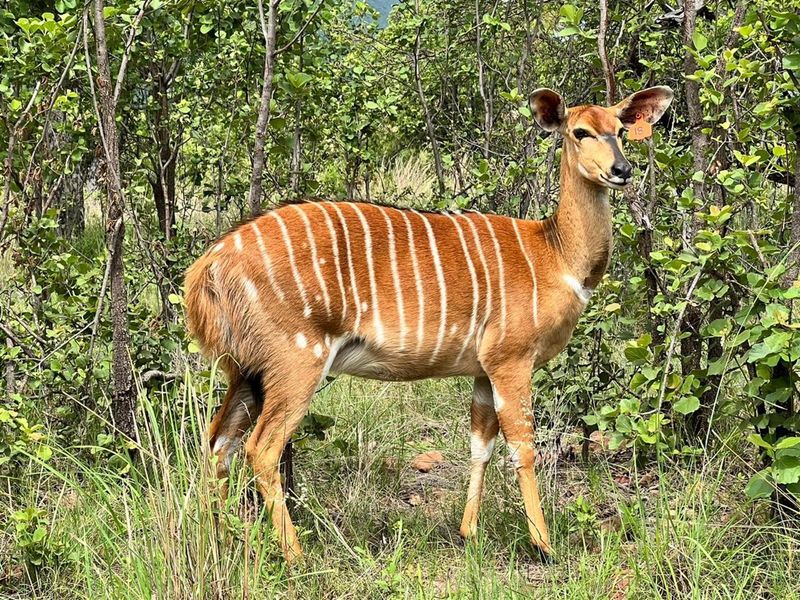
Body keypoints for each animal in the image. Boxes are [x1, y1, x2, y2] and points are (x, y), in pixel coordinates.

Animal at [185, 85, 673, 562]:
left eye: (621, 130)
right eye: (580, 132)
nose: (622, 170)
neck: (554, 253)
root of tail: (208, 267)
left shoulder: (482, 369)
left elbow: (480, 443)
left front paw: (468, 533)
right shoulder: (512, 359)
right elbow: (523, 446)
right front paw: (543, 544)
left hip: (246, 369)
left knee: (217, 443)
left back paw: (223, 542)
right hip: (296, 359)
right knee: (261, 448)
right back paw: (296, 557)